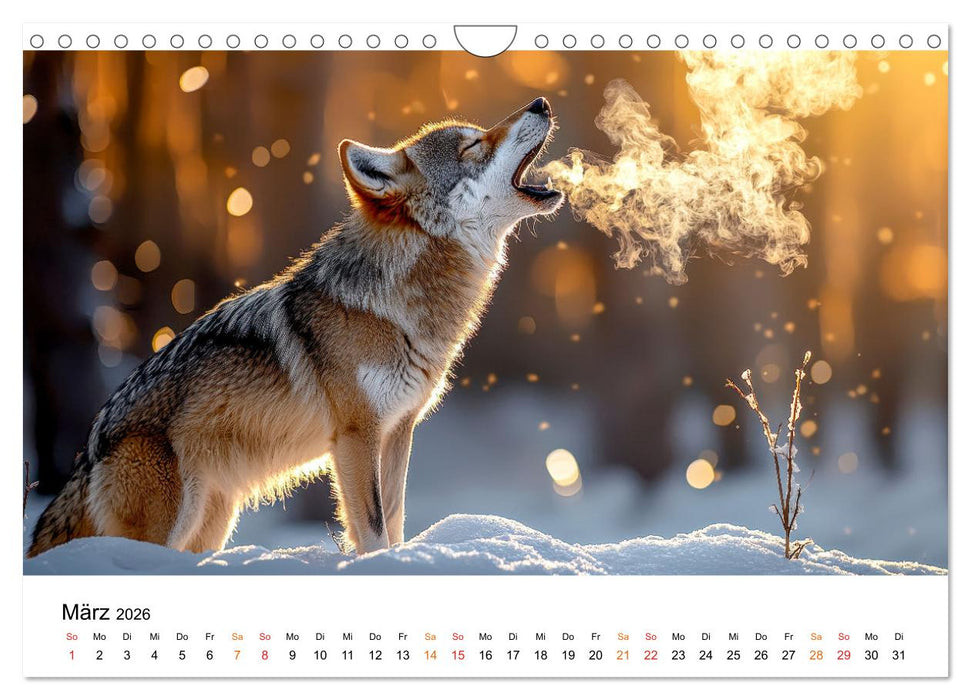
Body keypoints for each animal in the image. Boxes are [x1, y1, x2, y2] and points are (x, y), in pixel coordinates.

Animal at [27, 97, 563, 558]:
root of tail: (88, 452)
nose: (540, 103)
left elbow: (394, 520)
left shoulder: (398, 431)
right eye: (473, 146)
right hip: (171, 521)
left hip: (211, 523)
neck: (396, 308)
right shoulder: (355, 436)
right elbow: (372, 527)